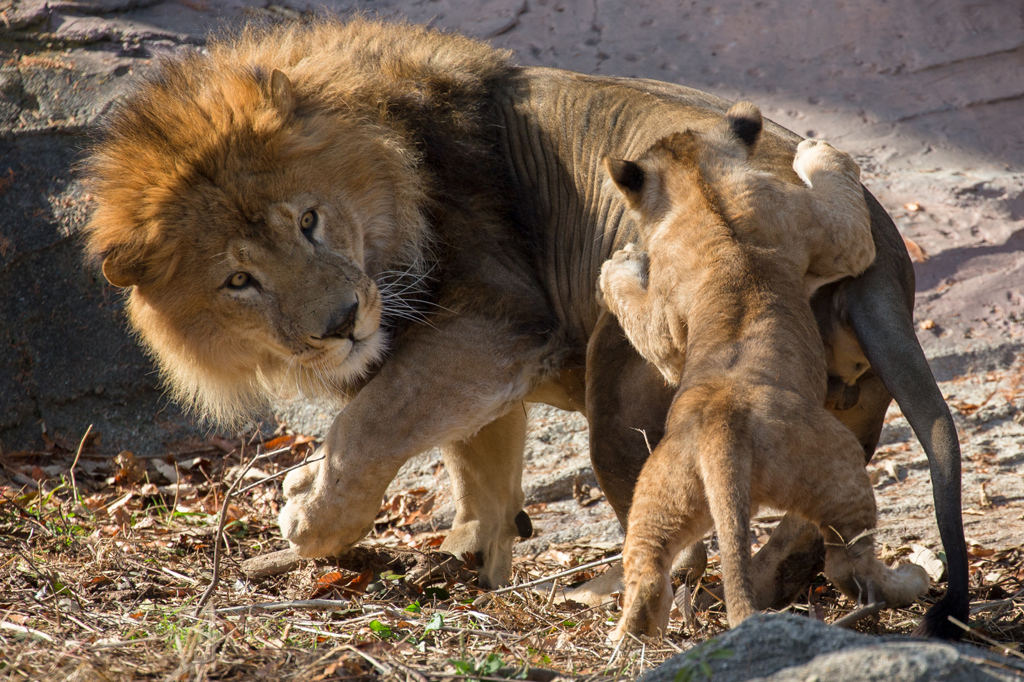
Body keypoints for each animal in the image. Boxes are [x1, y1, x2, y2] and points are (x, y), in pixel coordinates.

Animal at [81, 17, 966, 638]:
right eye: (238, 281)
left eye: (309, 220)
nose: (340, 323)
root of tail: (883, 256)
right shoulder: (476, 352)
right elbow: (476, 457)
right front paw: (471, 554)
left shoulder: (496, 319)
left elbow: (376, 422)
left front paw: (308, 511)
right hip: (840, 415)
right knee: (819, 528)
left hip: (622, 393)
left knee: (673, 533)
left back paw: (614, 593)